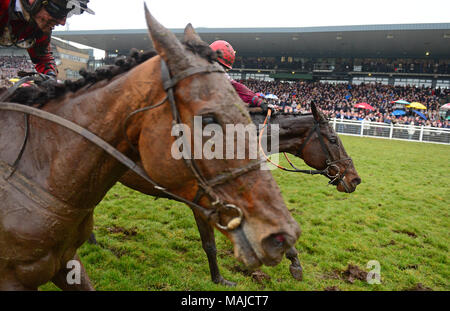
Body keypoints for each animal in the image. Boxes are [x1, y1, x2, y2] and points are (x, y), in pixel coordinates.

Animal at [114, 104, 360, 286]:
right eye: (333, 139)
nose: (354, 179)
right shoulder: (203, 204)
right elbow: (210, 244)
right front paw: (219, 279)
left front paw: (294, 262)